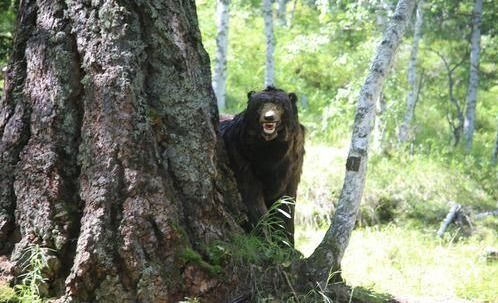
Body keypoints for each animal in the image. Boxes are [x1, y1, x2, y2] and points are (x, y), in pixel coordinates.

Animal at [221, 85, 306, 245]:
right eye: (260, 104)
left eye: (279, 104)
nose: (269, 117)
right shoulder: (242, 158)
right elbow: (253, 199)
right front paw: (265, 239)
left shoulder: (293, 164)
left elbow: (286, 204)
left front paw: (286, 243)